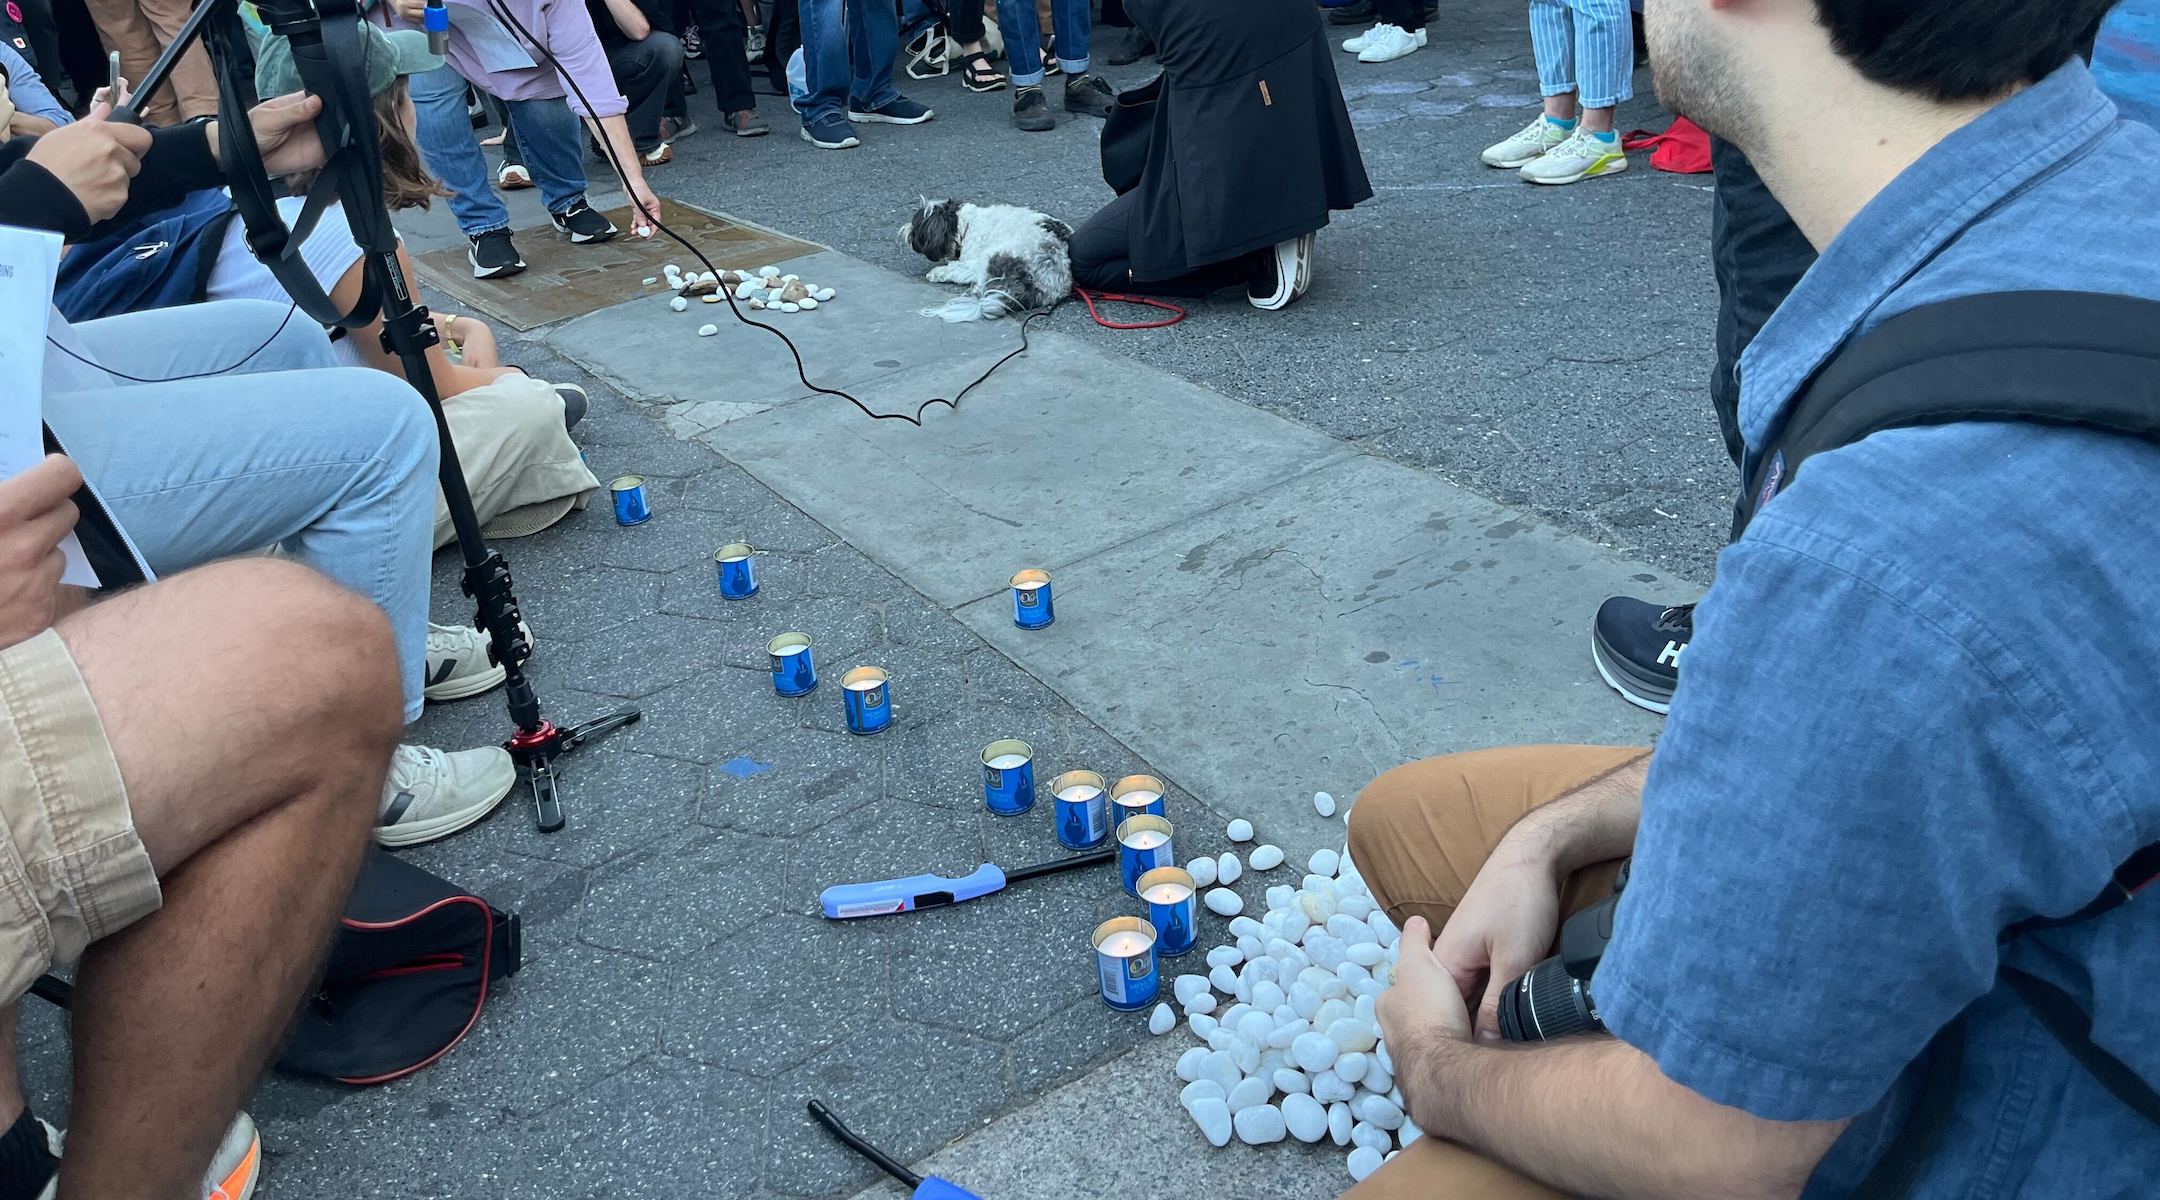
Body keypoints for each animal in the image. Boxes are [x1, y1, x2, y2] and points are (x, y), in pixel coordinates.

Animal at [898, 201, 1075, 323]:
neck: (966, 226)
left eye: (916, 227)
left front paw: (935, 273)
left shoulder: (970, 262)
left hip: (991, 256)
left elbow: (955, 269)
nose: (905, 229)